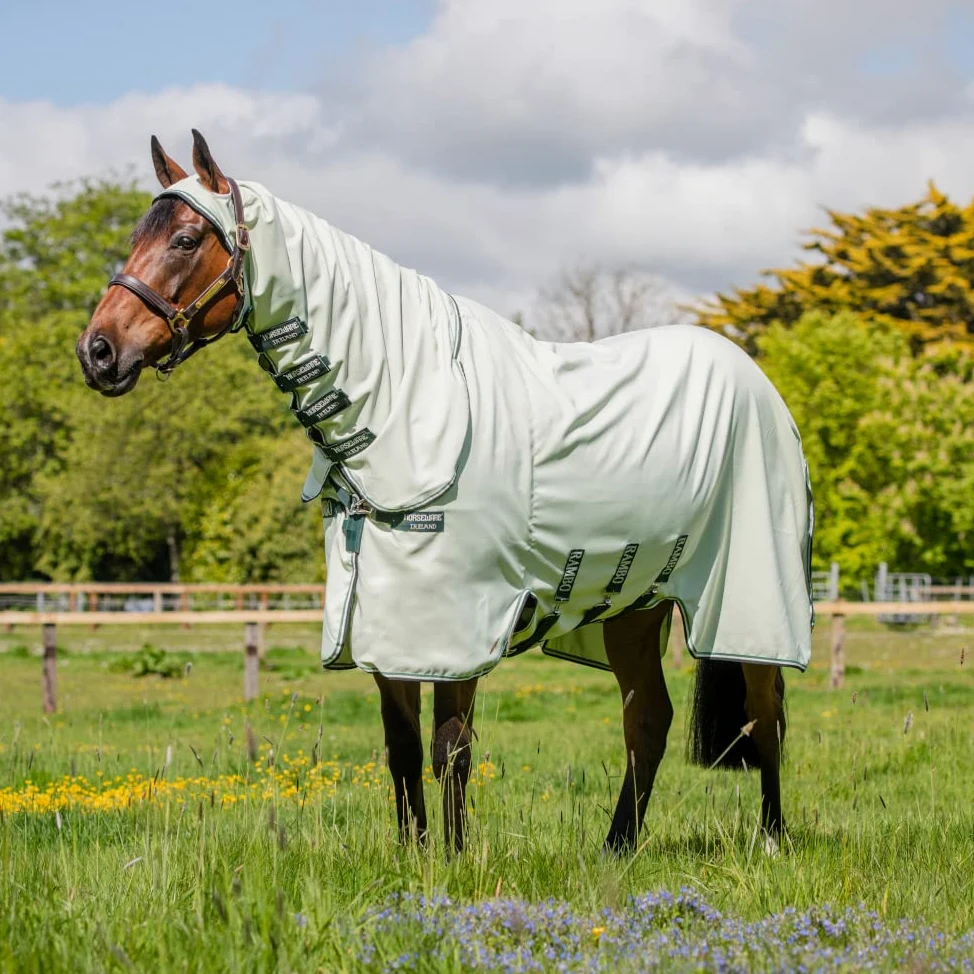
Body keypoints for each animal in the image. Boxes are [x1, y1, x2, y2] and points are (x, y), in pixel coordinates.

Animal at [77, 131, 813, 854]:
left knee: (765, 714)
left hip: (749, 599)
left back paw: (771, 837)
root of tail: (756, 380)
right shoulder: (384, 623)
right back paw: (617, 848)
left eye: (184, 240)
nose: (97, 352)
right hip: (634, 605)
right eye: (138, 236)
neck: (405, 407)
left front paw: (455, 863)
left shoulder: (459, 625)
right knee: (649, 722)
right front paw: (415, 858)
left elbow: (450, 748)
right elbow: (402, 749)